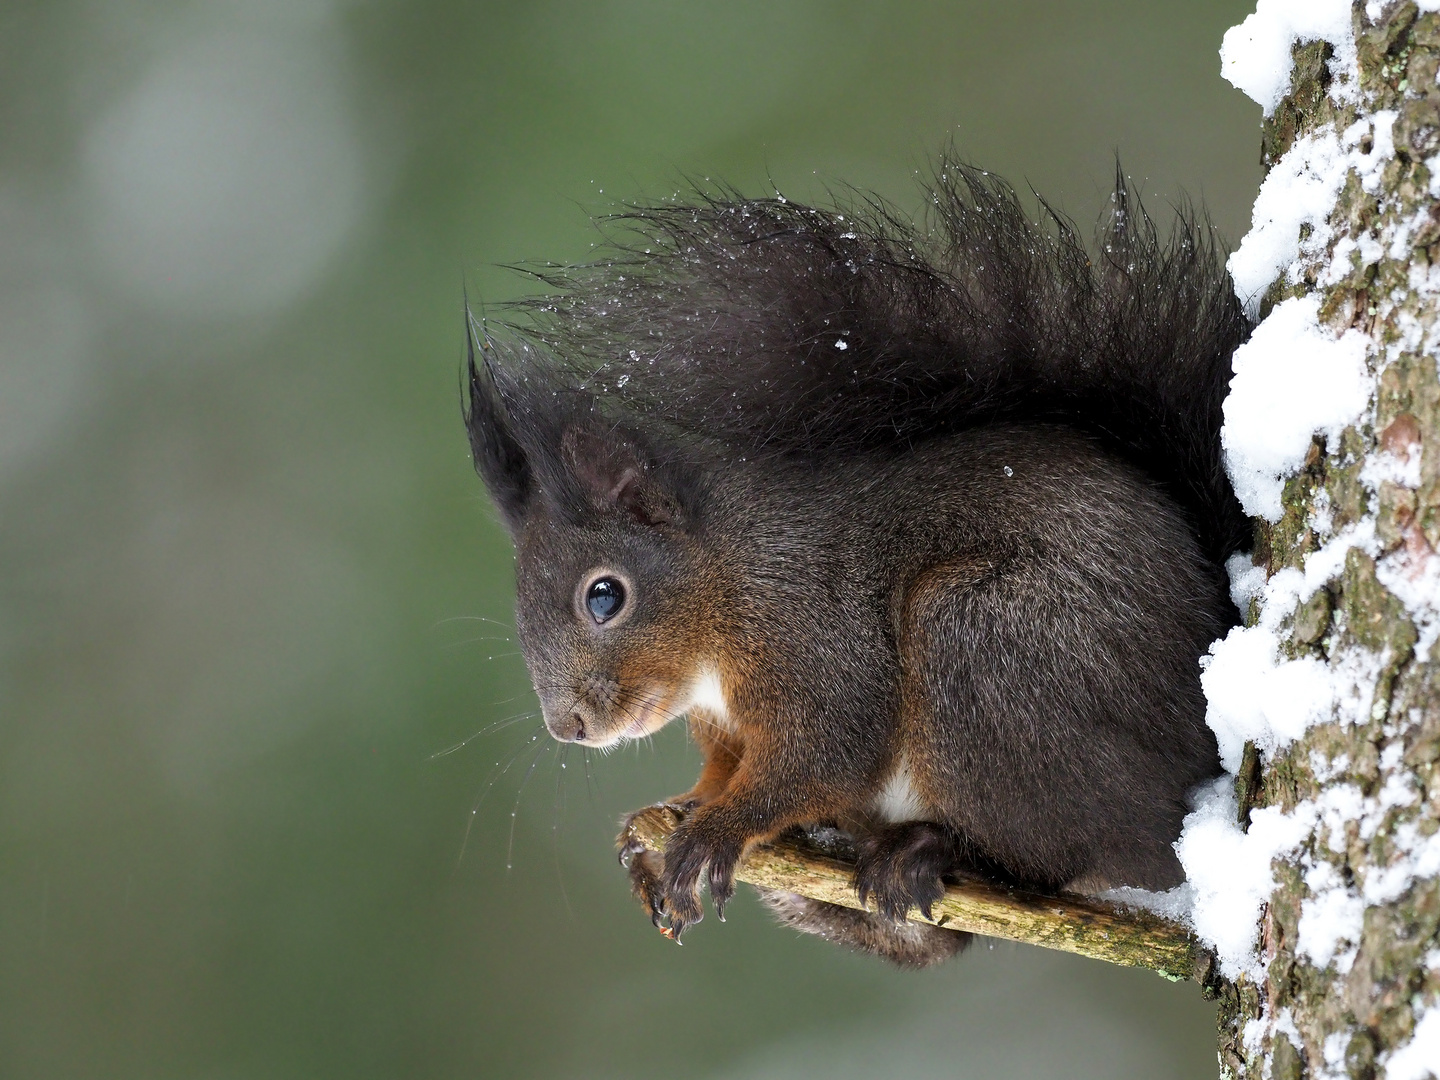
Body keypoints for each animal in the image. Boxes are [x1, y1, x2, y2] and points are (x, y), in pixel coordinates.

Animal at [460, 156, 1249, 967]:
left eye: (604, 597)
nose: (569, 727)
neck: (727, 579)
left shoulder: (813, 628)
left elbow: (825, 752)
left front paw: (716, 830)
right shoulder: (728, 725)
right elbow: (726, 771)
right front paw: (676, 812)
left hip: (986, 646)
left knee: (1086, 856)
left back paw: (930, 849)